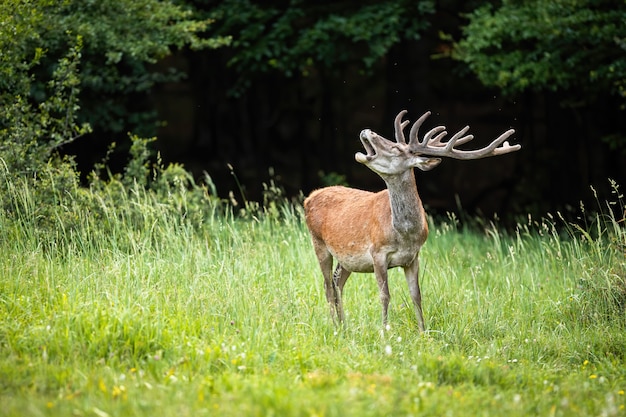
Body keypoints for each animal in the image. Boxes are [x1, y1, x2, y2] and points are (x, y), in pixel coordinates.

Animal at [304, 109, 520, 330]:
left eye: (396, 148)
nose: (368, 131)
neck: (405, 234)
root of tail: (309, 197)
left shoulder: (413, 257)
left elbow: (416, 295)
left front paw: (423, 332)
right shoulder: (377, 252)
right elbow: (385, 295)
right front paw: (384, 330)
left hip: (346, 259)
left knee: (337, 282)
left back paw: (343, 326)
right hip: (318, 243)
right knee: (328, 286)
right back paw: (334, 327)